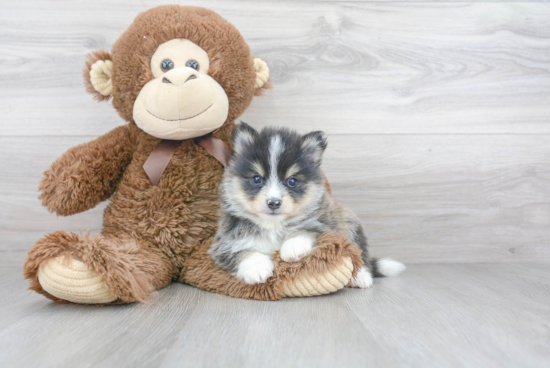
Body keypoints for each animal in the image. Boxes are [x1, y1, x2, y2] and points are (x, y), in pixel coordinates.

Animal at [210, 123, 406, 288]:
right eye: (257, 179)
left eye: (292, 181)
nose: (273, 202)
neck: (273, 226)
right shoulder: (222, 245)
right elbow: (241, 252)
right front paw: (256, 268)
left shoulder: (327, 227)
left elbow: (306, 229)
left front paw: (292, 247)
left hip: (350, 224)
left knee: (360, 254)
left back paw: (361, 277)